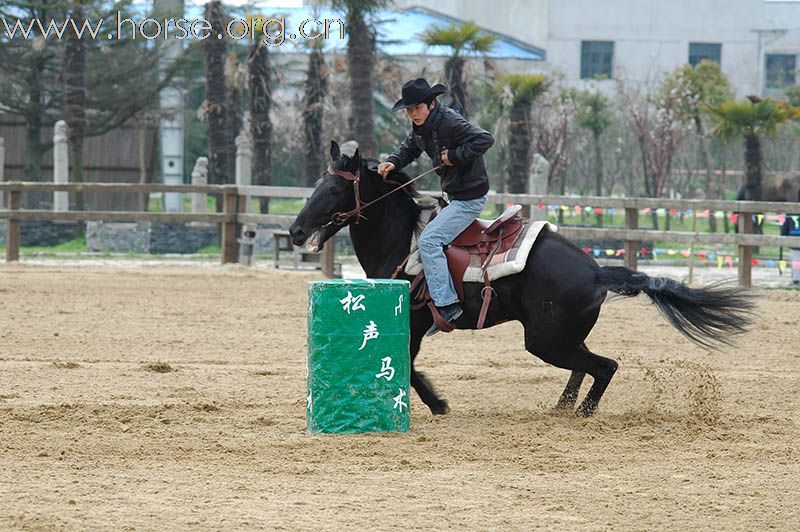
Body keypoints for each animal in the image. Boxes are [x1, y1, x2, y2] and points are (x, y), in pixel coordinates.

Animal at [290, 143, 756, 418]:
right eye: (315, 184)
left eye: (333, 190)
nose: (295, 231)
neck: (405, 242)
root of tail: (596, 271)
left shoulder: (416, 321)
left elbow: (408, 364)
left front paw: (438, 404)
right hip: (562, 336)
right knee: (585, 366)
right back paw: (562, 409)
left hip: (546, 340)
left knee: (604, 366)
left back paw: (581, 414)